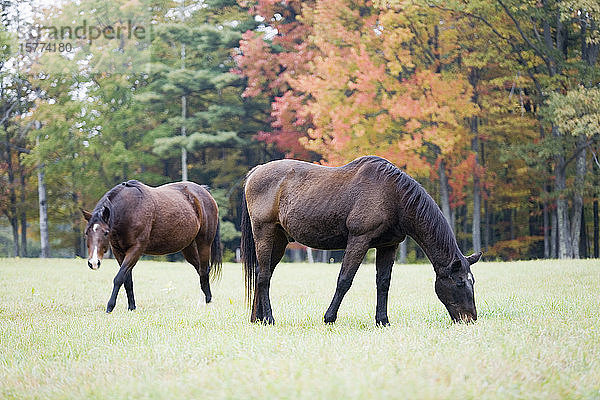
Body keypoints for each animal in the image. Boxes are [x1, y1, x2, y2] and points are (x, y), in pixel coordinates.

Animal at [80, 180, 220, 314]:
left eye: (105, 232)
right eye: (86, 232)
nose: (94, 263)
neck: (129, 209)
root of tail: (204, 191)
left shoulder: (136, 249)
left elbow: (119, 278)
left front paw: (110, 307)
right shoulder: (118, 252)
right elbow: (127, 280)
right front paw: (131, 307)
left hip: (204, 243)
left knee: (204, 270)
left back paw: (206, 302)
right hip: (188, 247)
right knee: (201, 270)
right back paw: (205, 300)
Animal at [241, 155, 480, 324]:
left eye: (472, 281)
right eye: (459, 282)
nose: (470, 319)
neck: (393, 196)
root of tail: (256, 171)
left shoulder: (388, 246)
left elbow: (383, 283)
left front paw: (382, 321)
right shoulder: (359, 240)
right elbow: (344, 280)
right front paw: (329, 318)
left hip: (279, 240)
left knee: (263, 274)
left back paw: (257, 318)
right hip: (264, 233)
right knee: (263, 276)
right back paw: (269, 318)